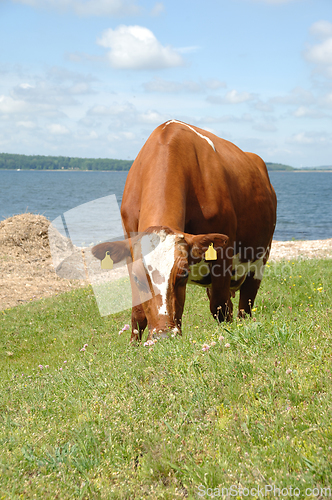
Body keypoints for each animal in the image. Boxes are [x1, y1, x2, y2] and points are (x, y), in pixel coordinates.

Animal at [92, 119, 276, 342]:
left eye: (183, 275)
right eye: (137, 278)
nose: (163, 335)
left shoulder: (223, 253)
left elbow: (220, 308)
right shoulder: (130, 250)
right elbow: (137, 314)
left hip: (259, 261)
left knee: (243, 306)